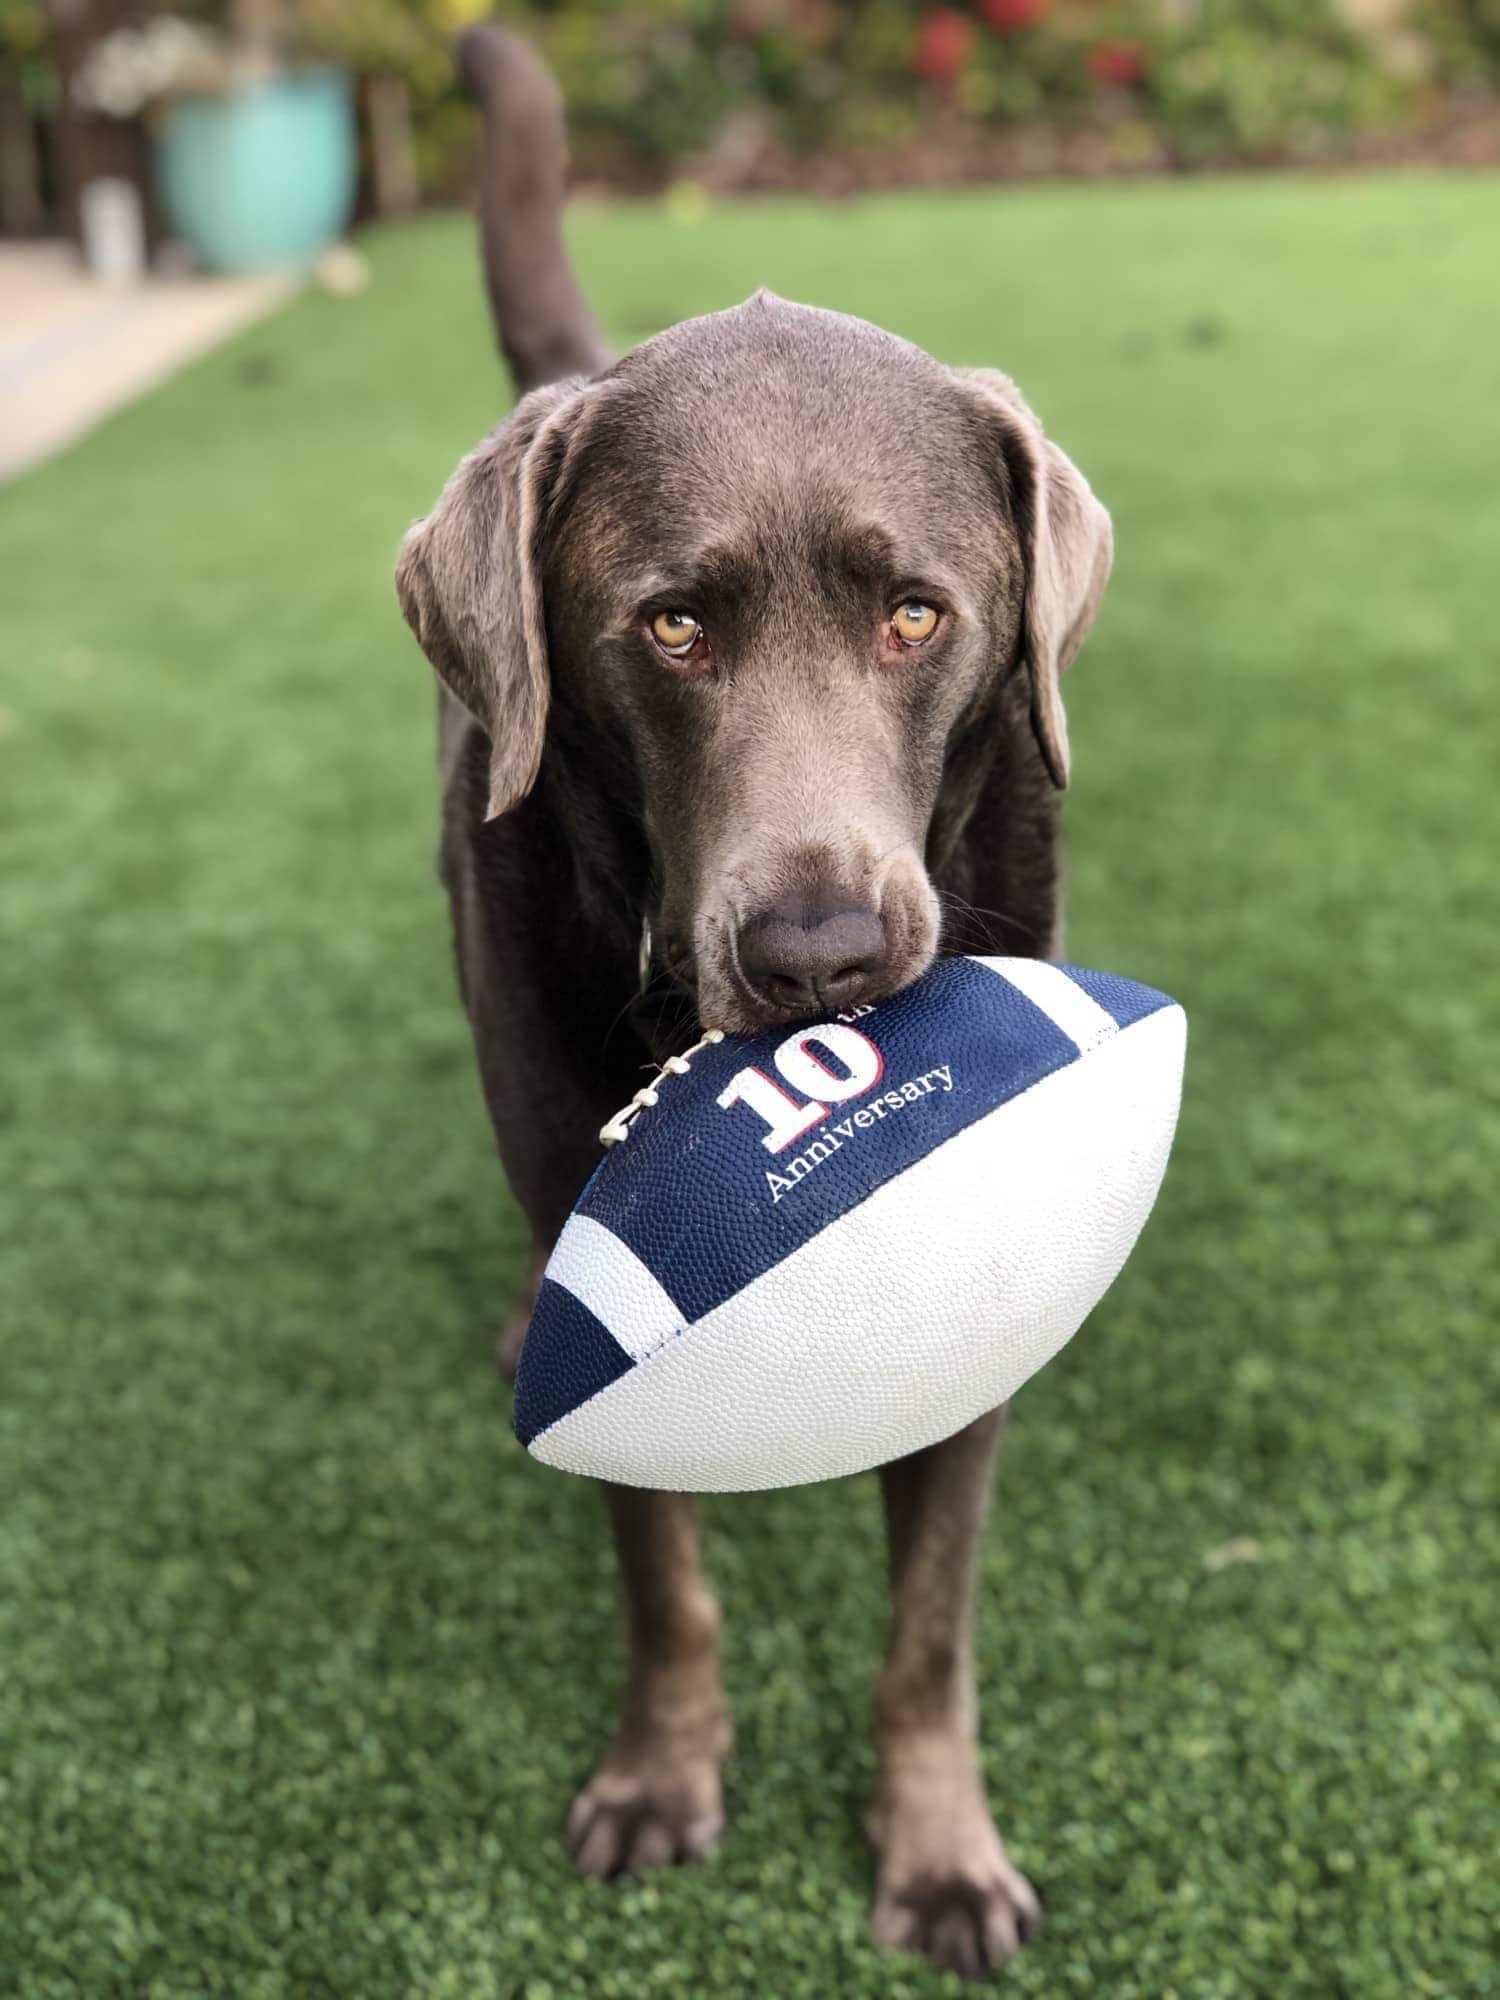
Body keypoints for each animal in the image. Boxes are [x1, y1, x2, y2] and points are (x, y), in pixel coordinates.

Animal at [400, 31, 1120, 1984]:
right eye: (670, 630)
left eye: (917, 616)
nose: (819, 959)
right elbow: (661, 1577)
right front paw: (664, 1769)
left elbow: (928, 1630)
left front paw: (938, 1854)